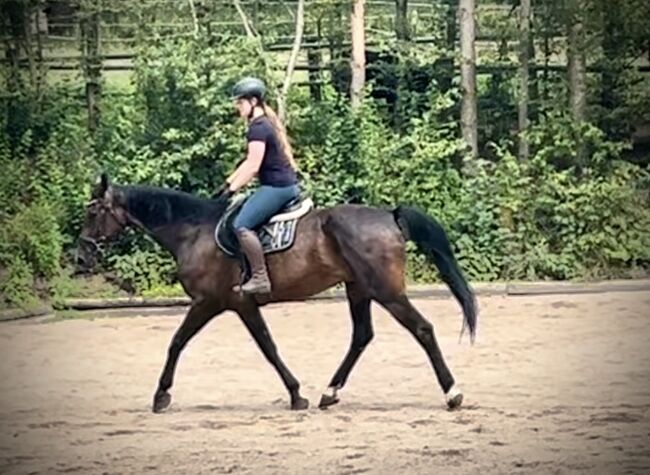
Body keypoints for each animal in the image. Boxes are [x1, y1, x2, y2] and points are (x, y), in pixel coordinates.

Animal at [77, 174, 476, 412]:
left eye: (93, 212)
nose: (80, 254)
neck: (194, 230)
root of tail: (389, 216)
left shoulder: (213, 302)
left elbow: (180, 343)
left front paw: (161, 395)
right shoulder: (240, 304)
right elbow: (267, 346)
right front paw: (298, 393)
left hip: (386, 291)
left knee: (422, 329)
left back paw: (452, 393)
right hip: (359, 289)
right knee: (362, 335)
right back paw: (329, 393)